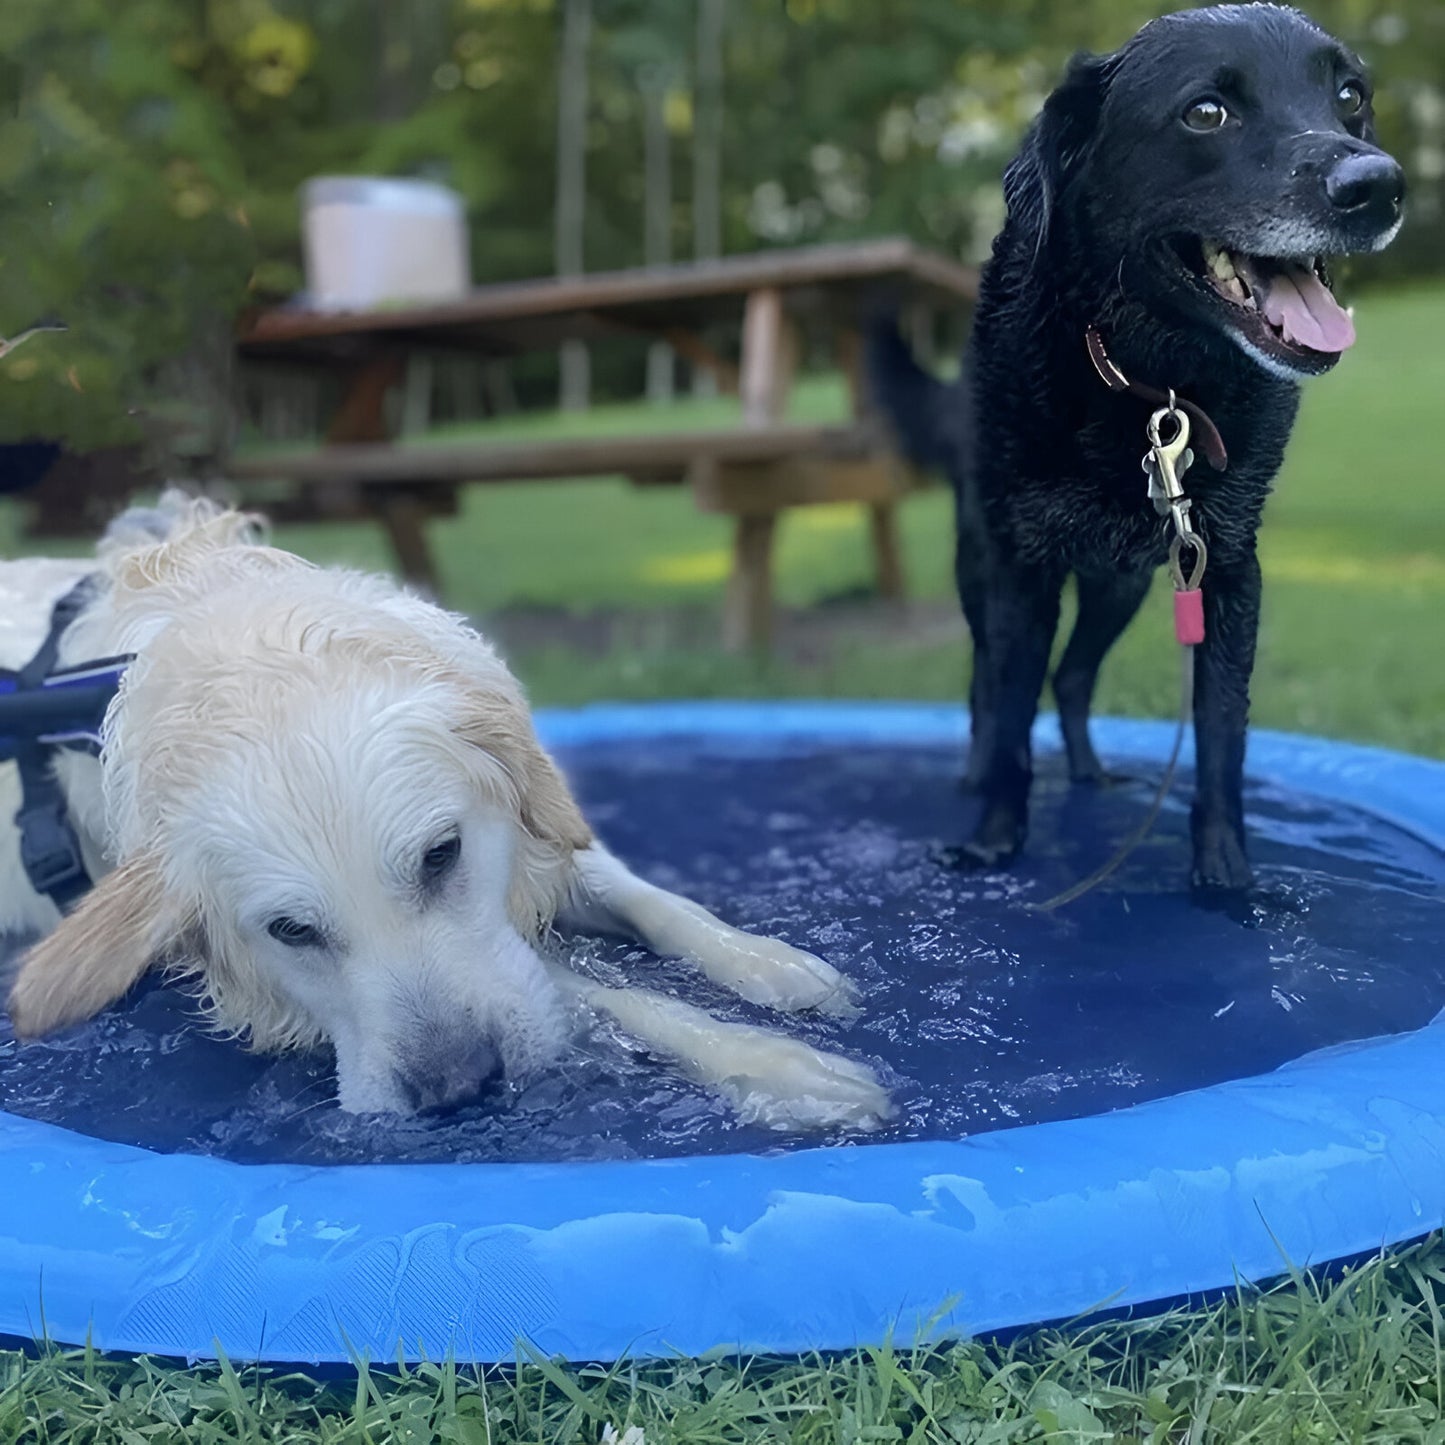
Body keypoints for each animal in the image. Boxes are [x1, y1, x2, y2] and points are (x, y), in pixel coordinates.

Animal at [0, 497, 884, 1127]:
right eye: (291, 930)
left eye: (440, 854)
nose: (457, 1084)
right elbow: (605, 993)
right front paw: (779, 1067)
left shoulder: (531, 830)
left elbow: (653, 901)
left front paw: (769, 964)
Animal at [872, 5, 1404, 890]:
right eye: (1205, 112)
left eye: (1349, 96)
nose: (1378, 186)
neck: (1154, 386)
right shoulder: (1020, 569)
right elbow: (1008, 711)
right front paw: (993, 843)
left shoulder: (1227, 568)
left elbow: (1221, 734)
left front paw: (1225, 878)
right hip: (980, 564)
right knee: (988, 684)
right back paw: (978, 777)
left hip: (1118, 584)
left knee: (1072, 674)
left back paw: (1089, 771)